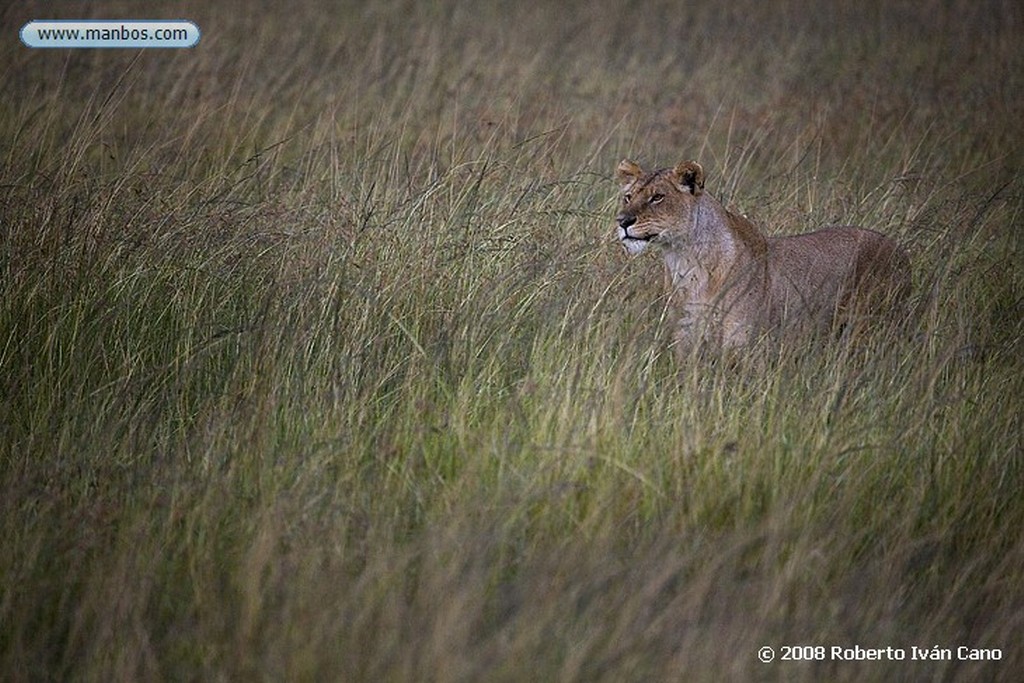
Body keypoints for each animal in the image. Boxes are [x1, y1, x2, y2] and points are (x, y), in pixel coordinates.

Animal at [614, 160, 913, 358]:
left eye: (657, 197)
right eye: (628, 197)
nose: (622, 221)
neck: (686, 260)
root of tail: (899, 249)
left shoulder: (746, 350)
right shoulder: (686, 343)